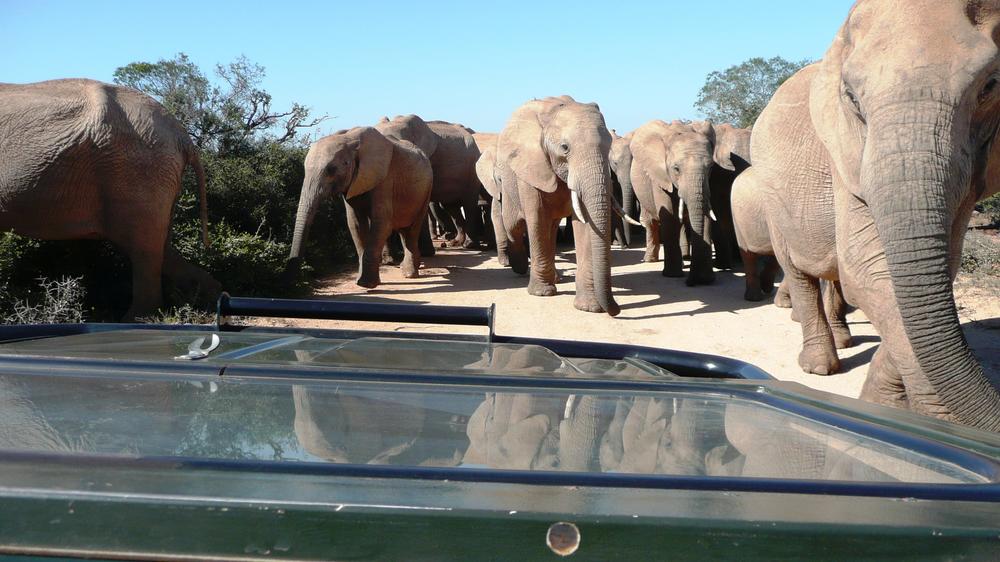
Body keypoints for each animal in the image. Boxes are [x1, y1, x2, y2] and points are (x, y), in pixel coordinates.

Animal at [0, 79, 218, 320]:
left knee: (144, 250)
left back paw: (135, 319)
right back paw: (210, 299)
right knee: (160, 248)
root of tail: (181, 135)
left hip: (137, 175)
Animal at [289, 127, 432, 289]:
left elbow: (381, 224)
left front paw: (366, 285)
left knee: (412, 229)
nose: (294, 282)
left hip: (426, 190)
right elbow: (355, 224)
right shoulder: (352, 184)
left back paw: (410, 274)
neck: (350, 140)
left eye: (332, 169)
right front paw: (363, 282)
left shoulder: (385, 178)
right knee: (404, 229)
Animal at [494, 96, 633, 316]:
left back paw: (556, 278)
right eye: (565, 147)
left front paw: (589, 307)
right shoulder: (530, 166)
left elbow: (585, 222)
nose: (616, 310)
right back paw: (521, 268)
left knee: (550, 228)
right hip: (508, 183)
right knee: (514, 225)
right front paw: (541, 293)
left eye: (608, 149)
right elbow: (536, 218)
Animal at [630, 120, 717, 286]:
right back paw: (650, 260)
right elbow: (669, 217)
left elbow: (706, 215)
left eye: (711, 167)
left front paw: (705, 279)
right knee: (651, 222)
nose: (691, 282)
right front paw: (673, 275)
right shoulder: (660, 176)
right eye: (676, 169)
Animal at [746, 0, 1000, 431]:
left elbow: (928, 273)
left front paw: (881, 407)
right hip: (771, 194)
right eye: (850, 97)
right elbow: (868, 272)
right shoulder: (845, 156)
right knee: (796, 270)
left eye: (989, 87)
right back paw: (818, 367)